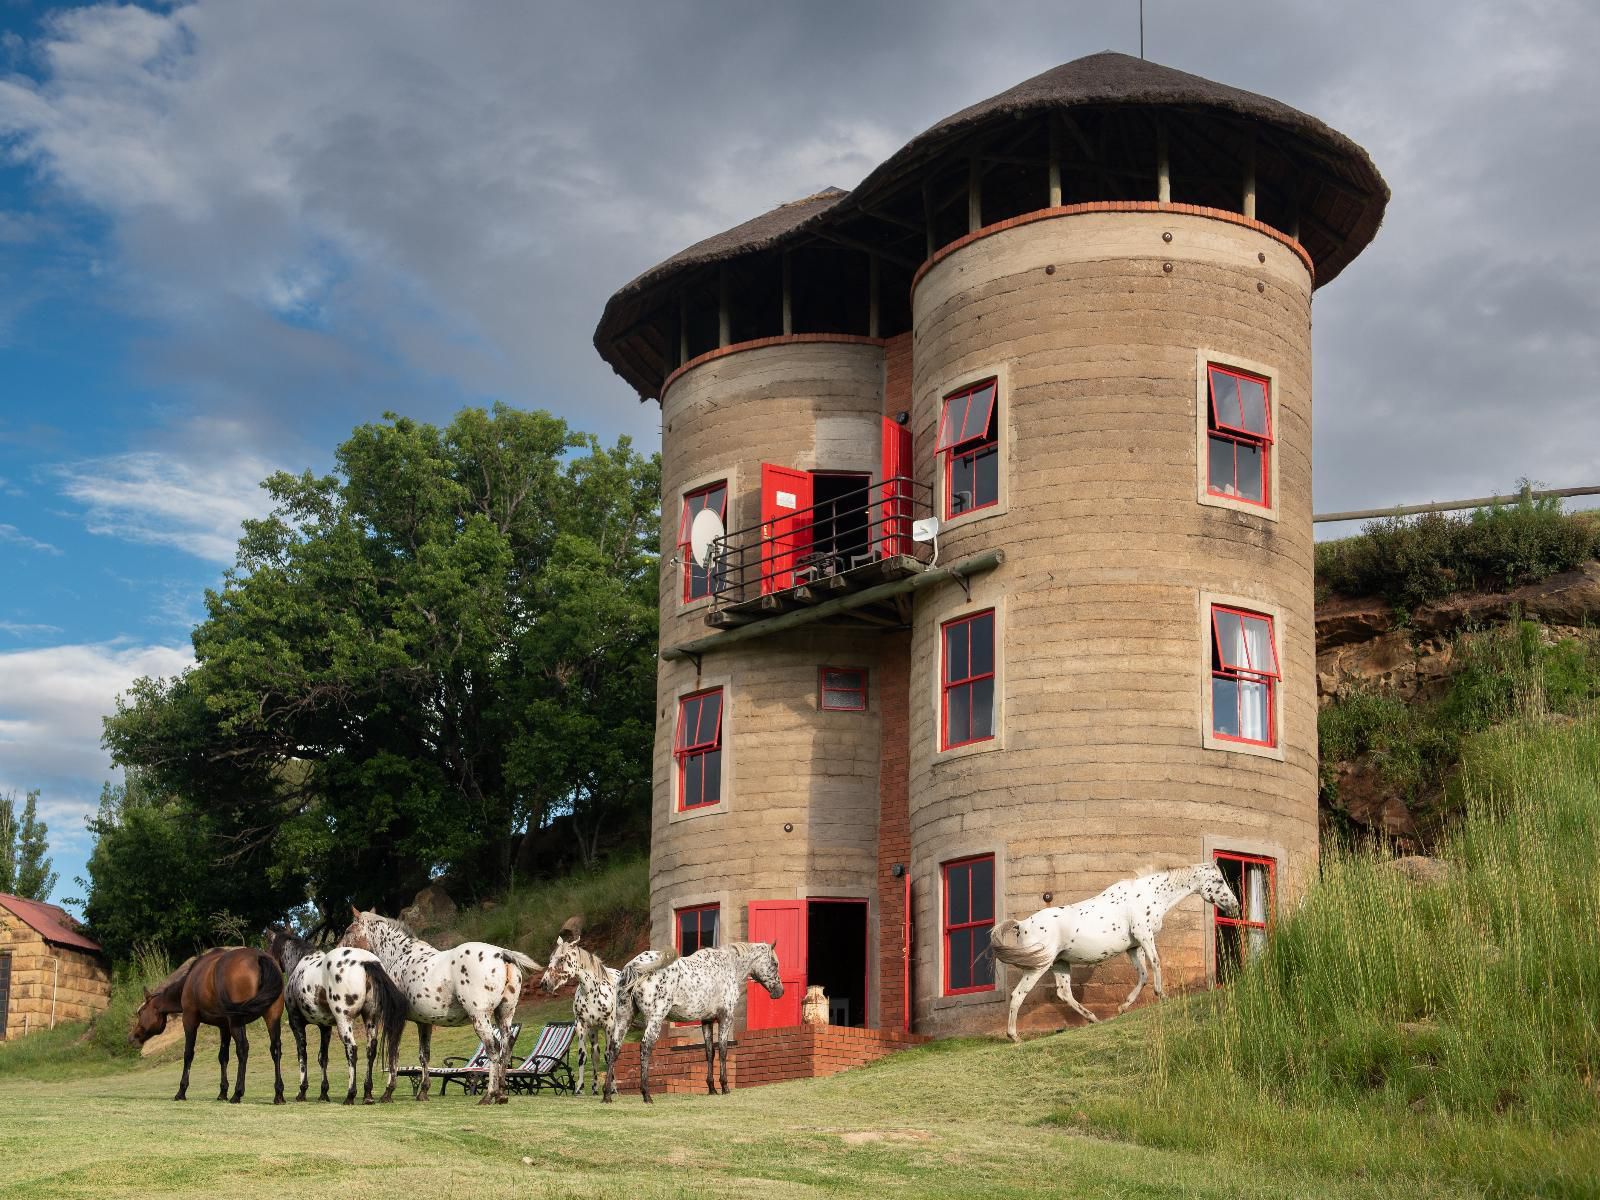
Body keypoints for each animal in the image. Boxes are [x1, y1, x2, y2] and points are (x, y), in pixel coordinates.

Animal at [132, 947, 288, 1107]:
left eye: (140, 1012)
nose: (132, 1036)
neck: (190, 980)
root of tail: (260, 957)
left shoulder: (190, 1020)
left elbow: (188, 1054)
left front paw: (181, 1091)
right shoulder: (224, 1026)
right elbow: (223, 1056)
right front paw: (222, 1092)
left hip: (237, 1021)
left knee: (243, 1049)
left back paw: (237, 1093)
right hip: (272, 1017)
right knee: (275, 1048)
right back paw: (278, 1094)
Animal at [265, 928, 409, 1107]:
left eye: (269, 947)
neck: (300, 965)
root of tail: (367, 963)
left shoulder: (296, 1022)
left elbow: (302, 1054)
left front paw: (302, 1092)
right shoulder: (325, 1027)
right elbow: (323, 1057)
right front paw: (323, 1093)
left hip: (344, 1021)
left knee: (352, 1049)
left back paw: (350, 1095)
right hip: (371, 1018)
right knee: (371, 1049)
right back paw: (368, 1095)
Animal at [340, 908, 540, 1107]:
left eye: (348, 930)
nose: (340, 948)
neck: (400, 955)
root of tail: (502, 954)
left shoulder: (397, 1020)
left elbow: (393, 1053)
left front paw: (388, 1092)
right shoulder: (424, 1022)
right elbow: (424, 1055)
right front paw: (423, 1091)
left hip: (480, 1017)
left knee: (493, 1048)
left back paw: (489, 1095)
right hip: (504, 1016)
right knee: (507, 1046)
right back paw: (501, 1094)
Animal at [601, 947, 780, 1107]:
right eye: (775, 963)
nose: (779, 991)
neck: (728, 966)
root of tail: (635, 965)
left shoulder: (706, 1021)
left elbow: (709, 1052)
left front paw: (712, 1088)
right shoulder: (726, 1018)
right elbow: (723, 1050)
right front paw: (724, 1087)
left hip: (624, 1018)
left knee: (614, 1049)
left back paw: (607, 1094)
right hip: (654, 1019)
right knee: (645, 1047)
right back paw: (646, 1095)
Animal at [985, 864, 1248, 1043]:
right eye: (1219, 880)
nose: (1235, 905)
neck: (1150, 894)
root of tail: (1020, 925)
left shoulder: (1133, 946)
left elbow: (1143, 974)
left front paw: (1123, 1007)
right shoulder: (1144, 935)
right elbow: (1156, 963)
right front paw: (1162, 996)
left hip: (1059, 964)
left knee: (1064, 993)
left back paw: (1093, 1019)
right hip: (1038, 967)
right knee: (1019, 995)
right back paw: (1014, 1037)